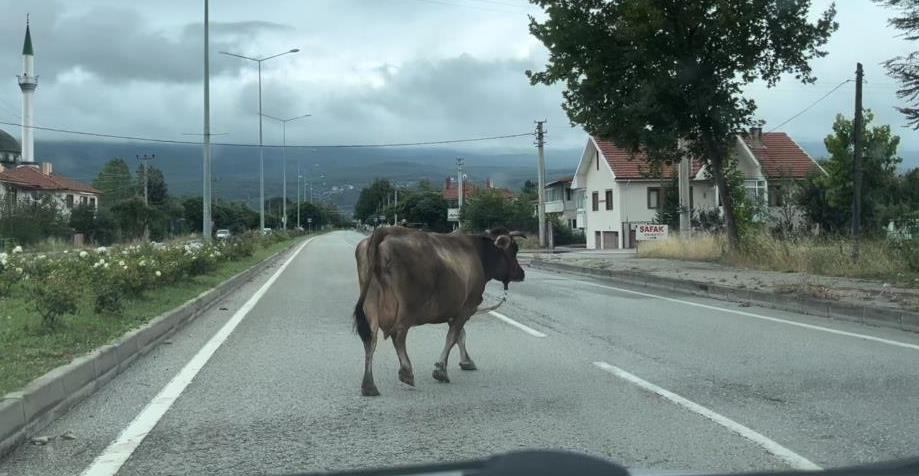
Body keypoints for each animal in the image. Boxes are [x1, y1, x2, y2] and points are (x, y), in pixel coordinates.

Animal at [352, 225, 524, 396]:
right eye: (513, 250)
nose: (521, 273)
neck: (479, 252)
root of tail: (387, 231)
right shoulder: (467, 306)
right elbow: (453, 336)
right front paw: (441, 370)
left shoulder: (453, 309)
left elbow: (461, 335)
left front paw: (466, 361)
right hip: (407, 306)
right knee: (398, 335)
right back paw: (406, 372)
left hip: (370, 301)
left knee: (371, 338)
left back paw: (369, 385)